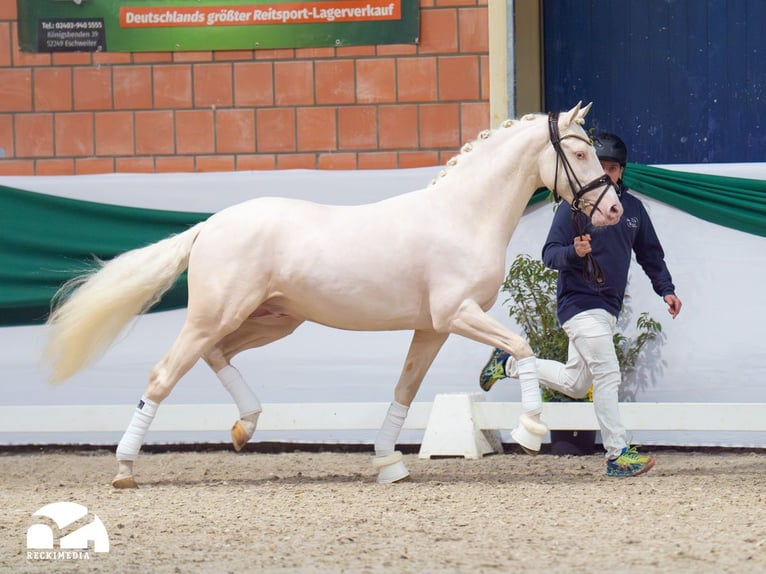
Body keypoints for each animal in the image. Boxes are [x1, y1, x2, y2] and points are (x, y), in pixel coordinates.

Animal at [44, 102, 623, 487]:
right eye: (578, 152)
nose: (614, 211)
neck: (462, 216)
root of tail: (209, 227)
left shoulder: (431, 327)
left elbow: (405, 390)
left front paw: (388, 463)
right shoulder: (455, 314)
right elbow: (520, 348)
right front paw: (530, 429)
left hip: (274, 320)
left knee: (217, 355)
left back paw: (243, 428)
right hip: (216, 315)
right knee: (164, 375)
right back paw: (125, 467)